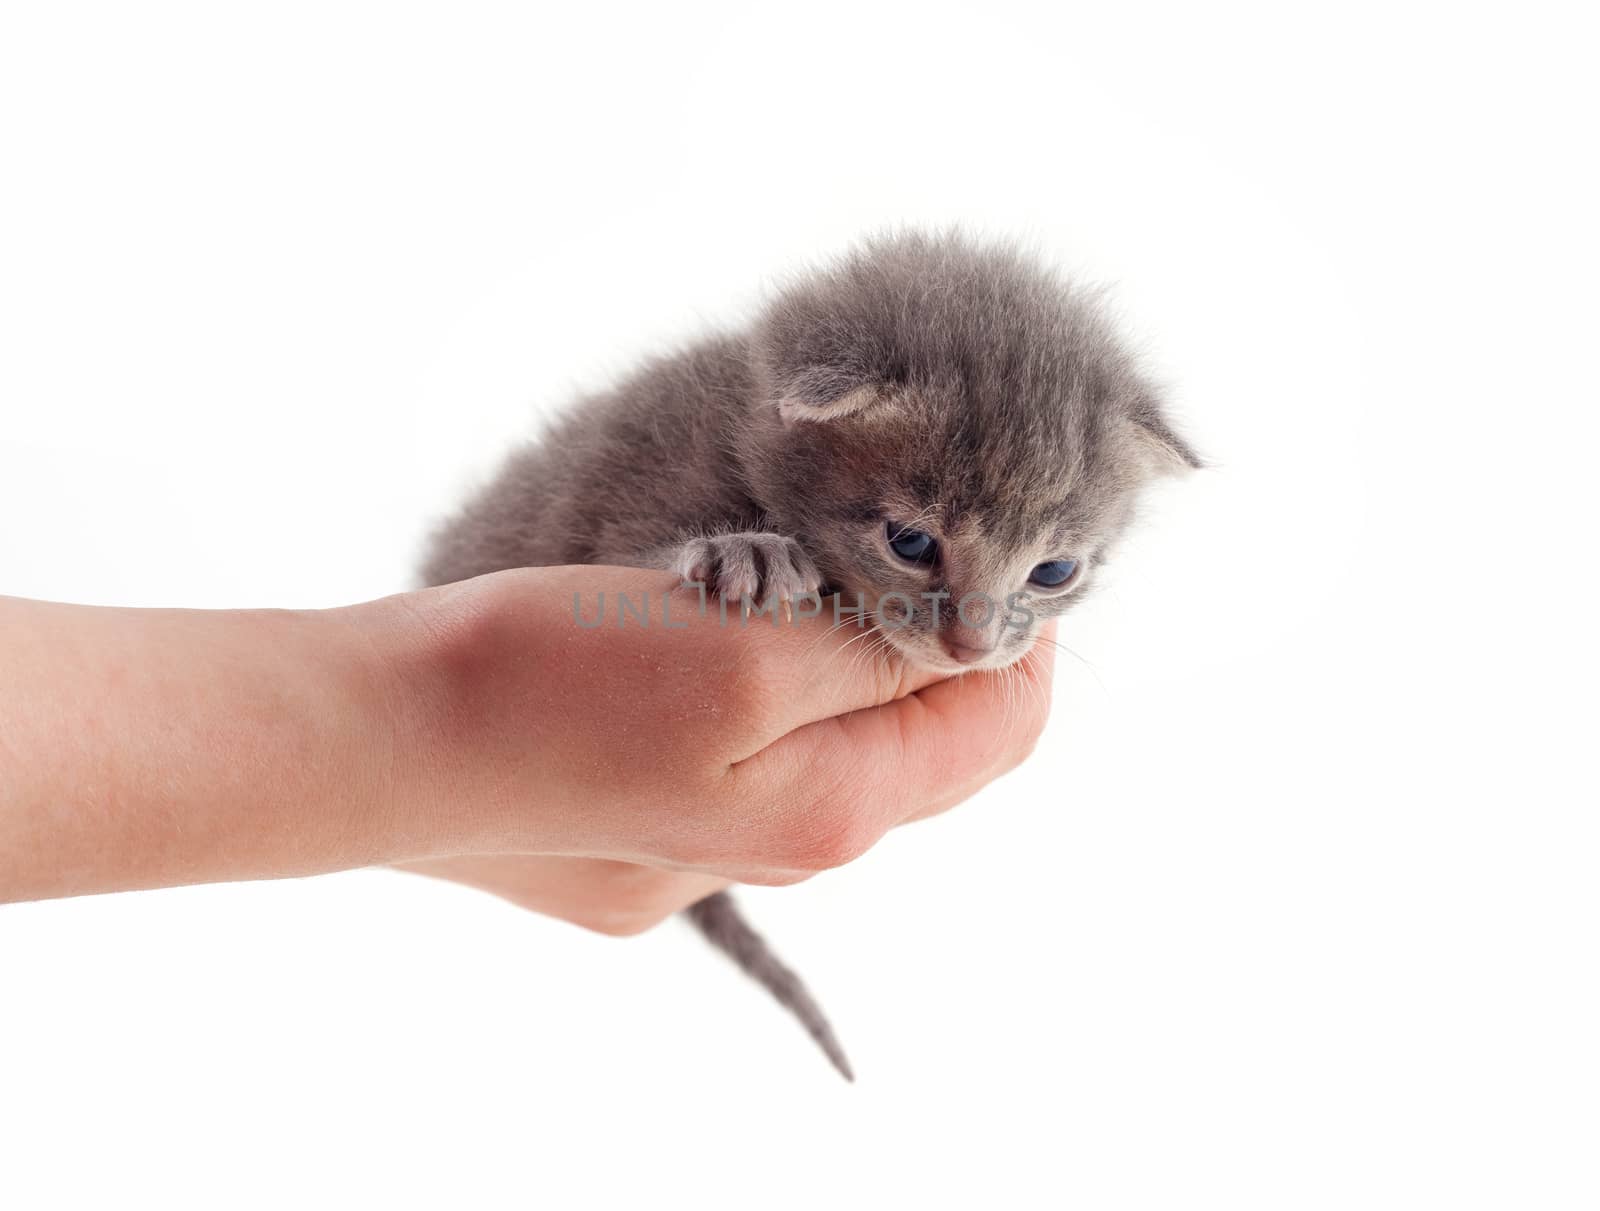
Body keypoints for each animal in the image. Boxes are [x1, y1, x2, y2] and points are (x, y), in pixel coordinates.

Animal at [419, 227, 1196, 1075]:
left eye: (1054, 571)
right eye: (910, 541)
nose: (973, 643)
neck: (743, 422)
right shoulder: (627, 504)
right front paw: (748, 550)